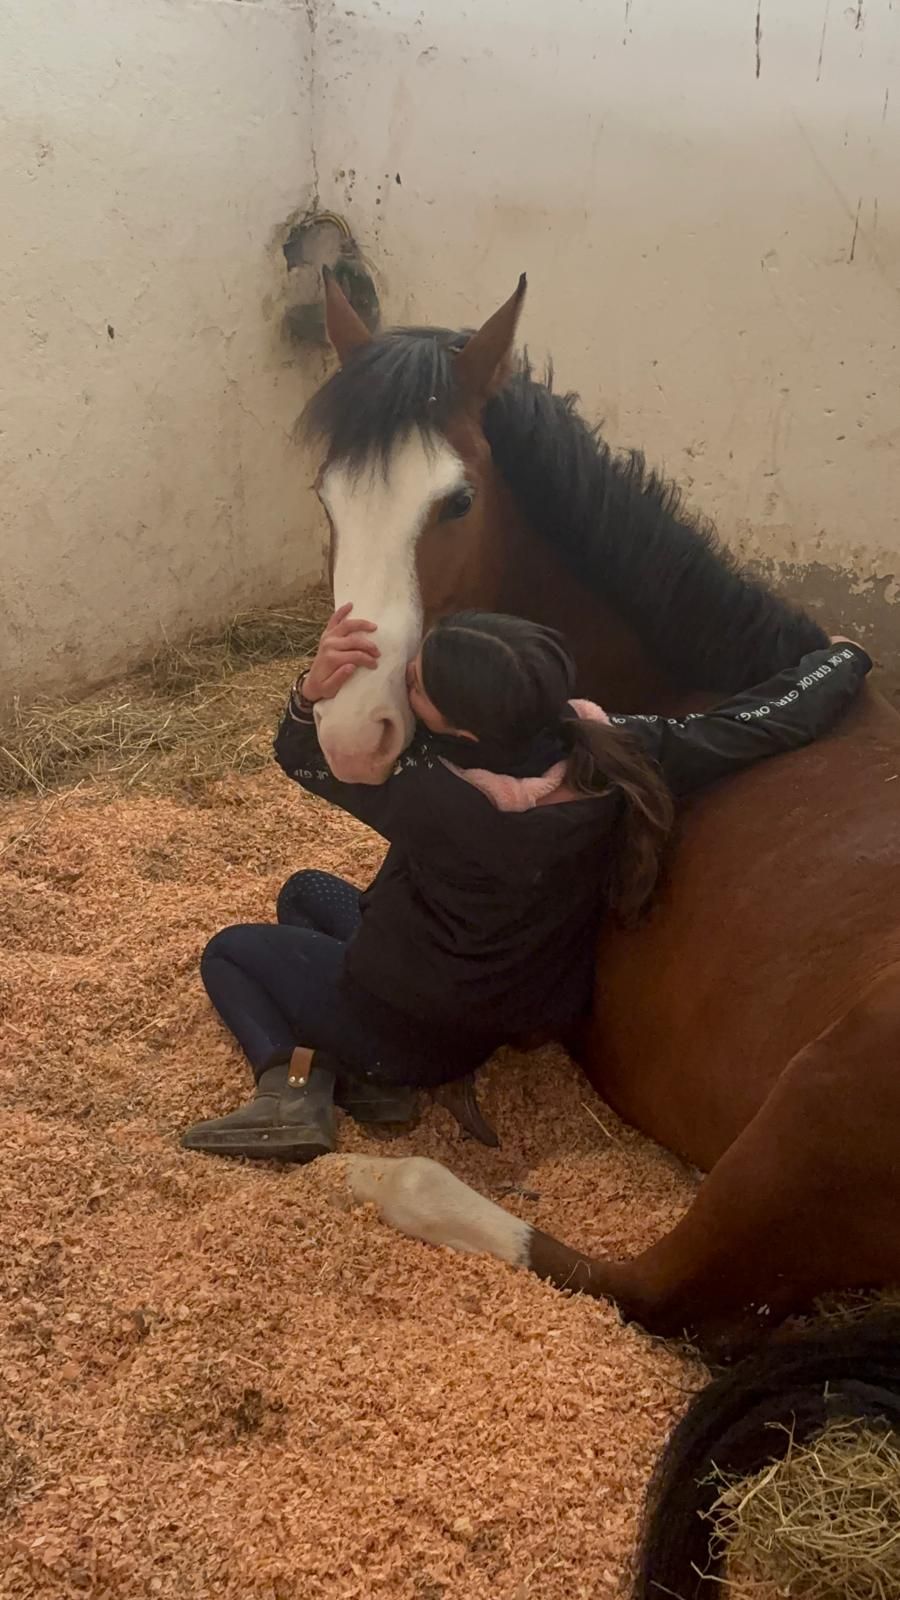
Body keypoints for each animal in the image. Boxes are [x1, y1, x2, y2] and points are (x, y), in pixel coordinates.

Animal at [302, 269, 900, 1358]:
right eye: (327, 496)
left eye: (455, 500)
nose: (352, 734)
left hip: (807, 1113)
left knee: (641, 1285)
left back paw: (377, 1178)